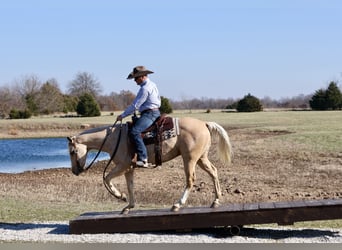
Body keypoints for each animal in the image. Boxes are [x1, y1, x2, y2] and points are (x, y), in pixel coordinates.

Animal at [67, 116, 232, 214]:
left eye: (72, 152)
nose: (75, 171)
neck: (114, 137)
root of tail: (204, 124)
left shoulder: (123, 166)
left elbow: (107, 178)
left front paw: (121, 196)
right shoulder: (129, 169)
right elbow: (130, 186)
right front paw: (128, 206)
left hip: (190, 159)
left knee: (190, 180)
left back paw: (177, 205)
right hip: (201, 158)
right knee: (214, 172)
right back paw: (215, 201)